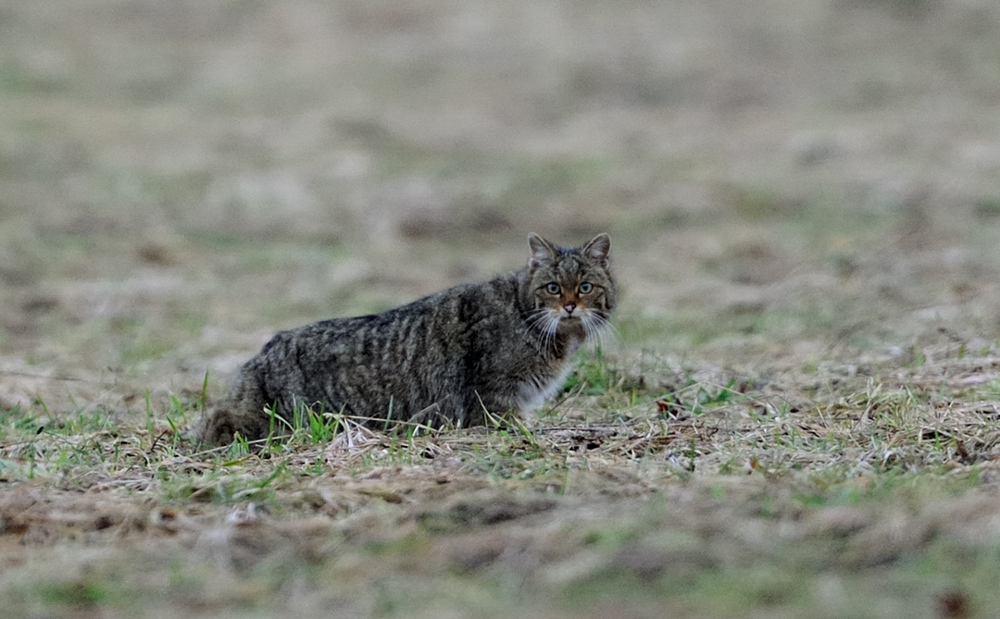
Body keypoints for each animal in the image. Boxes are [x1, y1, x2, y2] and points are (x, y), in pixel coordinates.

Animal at [194, 234, 612, 446]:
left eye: (585, 286)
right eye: (553, 287)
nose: (570, 306)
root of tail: (259, 356)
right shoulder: (495, 397)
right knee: (217, 418)